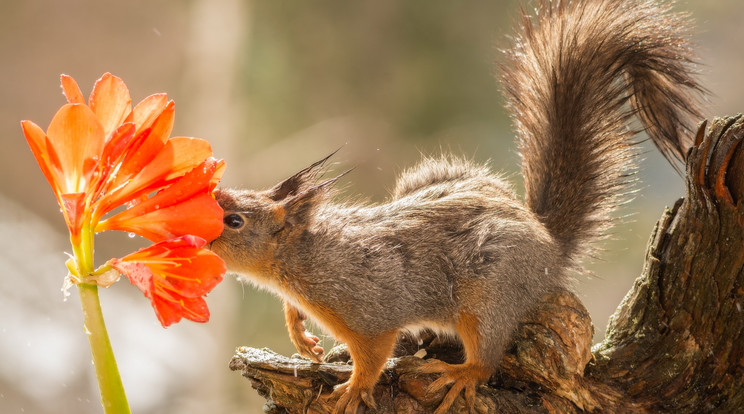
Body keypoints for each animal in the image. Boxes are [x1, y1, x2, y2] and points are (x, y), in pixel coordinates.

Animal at [209, 0, 704, 412]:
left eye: (234, 221)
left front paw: (353, 389)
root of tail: (548, 247)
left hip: (487, 296)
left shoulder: (369, 310)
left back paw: (461, 374)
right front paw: (300, 334)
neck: (304, 257)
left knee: (487, 350)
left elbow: (374, 354)